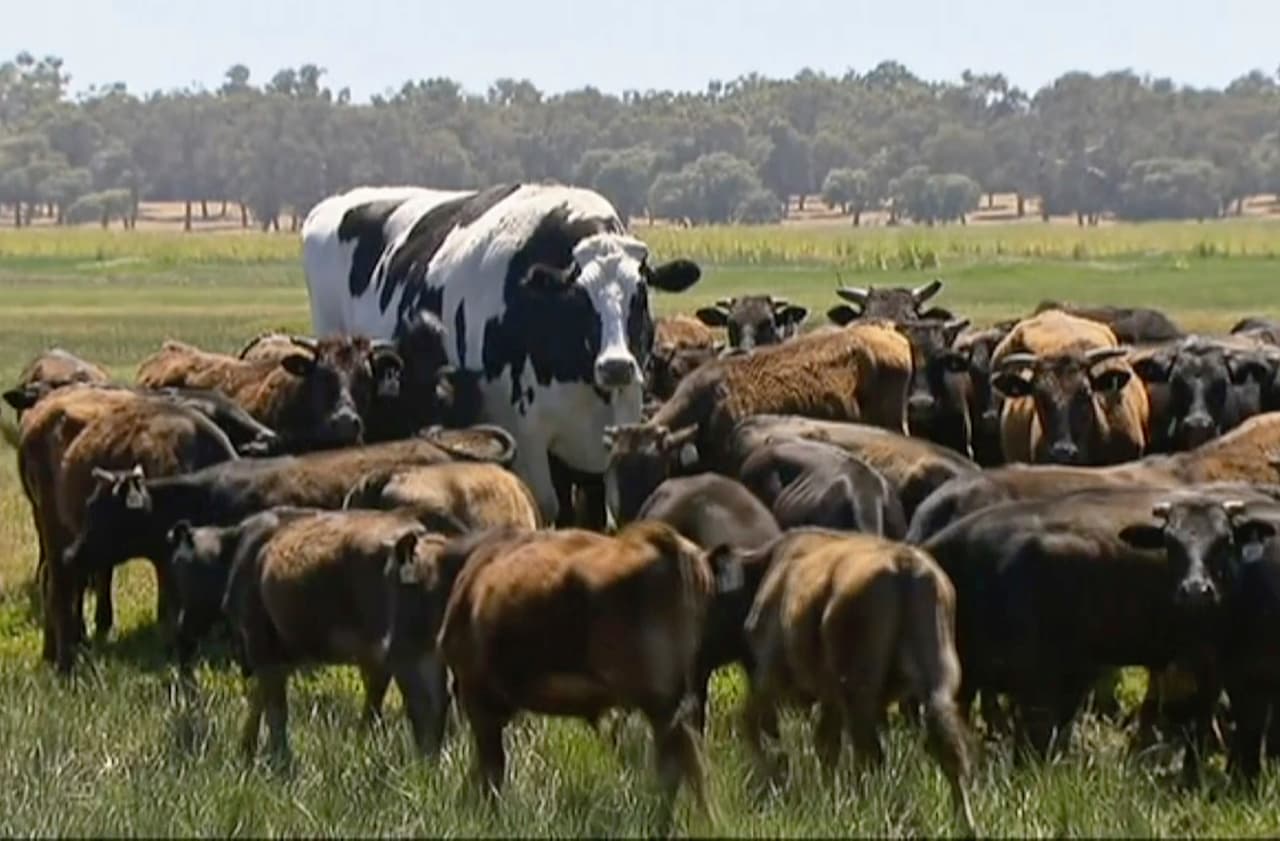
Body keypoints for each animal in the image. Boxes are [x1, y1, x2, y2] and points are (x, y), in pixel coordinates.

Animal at [301, 183, 703, 526]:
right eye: (578, 296)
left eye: (641, 293)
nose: (616, 366)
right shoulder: (525, 435)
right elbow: (547, 506)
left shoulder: (614, 427)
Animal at [430, 521, 726, 831]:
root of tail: (665, 542)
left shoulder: (478, 697)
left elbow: (491, 770)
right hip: (679, 700)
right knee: (686, 762)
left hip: (660, 701)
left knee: (680, 763)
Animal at [735, 528, 975, 832]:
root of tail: (906, 566)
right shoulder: (829, 698)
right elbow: (826, 746)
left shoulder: (770, 676)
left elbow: (757, 727)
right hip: (935, 685)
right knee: (949, 751)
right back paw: (965, 824)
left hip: (858, 693)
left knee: (869, 753)